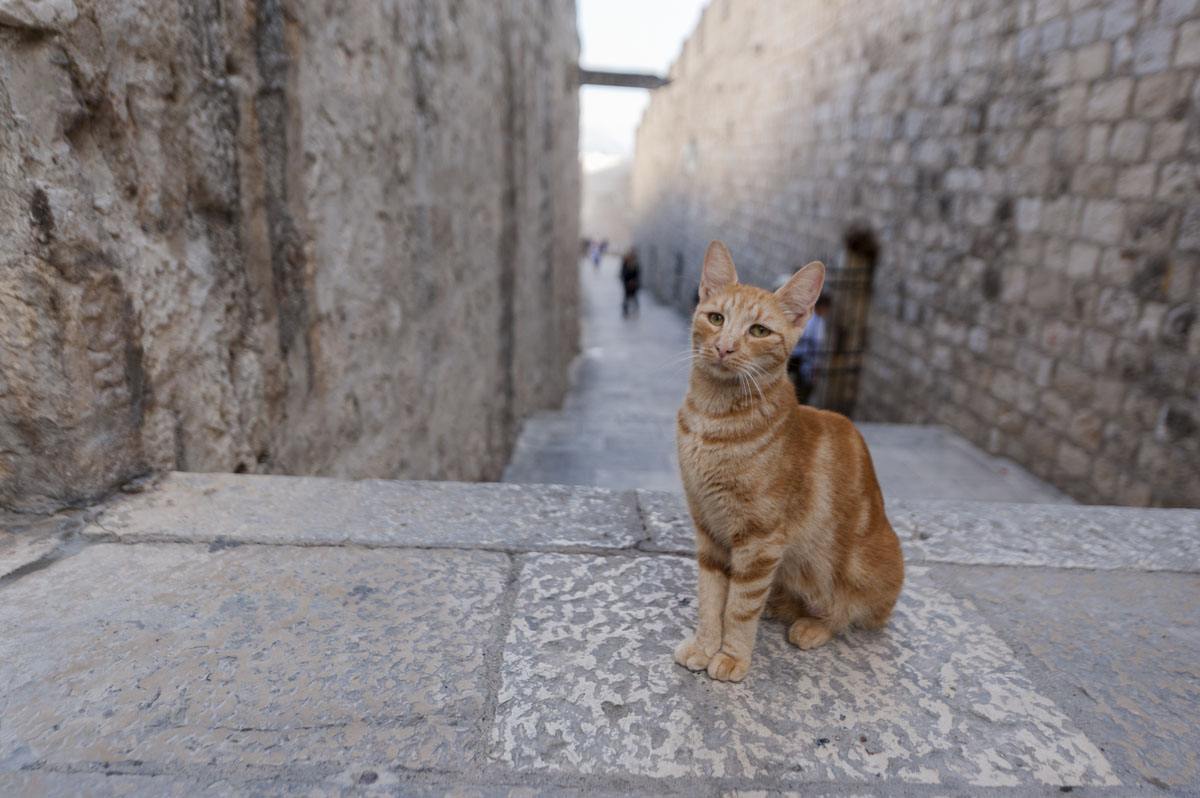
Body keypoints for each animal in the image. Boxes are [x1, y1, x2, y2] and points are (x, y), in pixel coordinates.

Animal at [672, 237, 902, 676]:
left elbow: (739, 608)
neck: (712, 419)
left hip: (860, 568)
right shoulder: (708, 528)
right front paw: (706, 644)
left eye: (759, 331)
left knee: (848, 611)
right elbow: (711, 597)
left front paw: (731, 656)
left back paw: (812, 625)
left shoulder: (760, 540)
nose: (724, 347)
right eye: (716, 318)